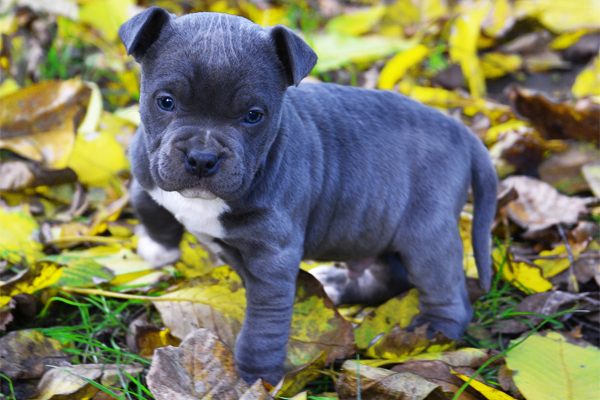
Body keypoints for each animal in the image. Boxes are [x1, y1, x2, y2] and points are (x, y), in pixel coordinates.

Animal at [117, 6, 496, 386]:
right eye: (166, 102)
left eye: (253, 116)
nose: (202, 158)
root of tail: (462, 133)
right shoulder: (146, 165)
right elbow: (145, 201)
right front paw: (158, 248)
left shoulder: (271, 262)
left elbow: (263, 325)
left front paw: (256, 376)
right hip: (375, 226)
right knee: (391, 272)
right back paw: (341, 286)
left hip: (427, 238)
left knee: (446, 291)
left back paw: (433, 332)